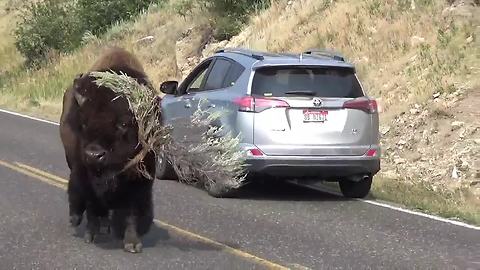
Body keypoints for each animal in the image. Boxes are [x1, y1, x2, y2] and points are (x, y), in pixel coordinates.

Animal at [58, 47, 156, 253]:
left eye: (124, 123)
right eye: (84, 123)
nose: (94, 155)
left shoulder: (140, 181)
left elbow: (132, 212)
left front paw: (132, 244)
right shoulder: (86, 176)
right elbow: (91, 205)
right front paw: (90, 235)